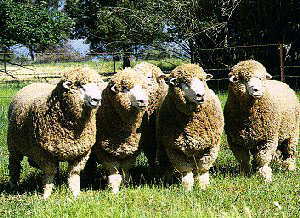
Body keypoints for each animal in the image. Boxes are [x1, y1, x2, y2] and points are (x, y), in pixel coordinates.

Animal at [7, 67, 105, 199]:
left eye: (97, 85)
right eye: (80, 85)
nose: (97, 100)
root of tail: (33, 84)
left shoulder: (80, 154)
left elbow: (73, 175)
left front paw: (75, 194)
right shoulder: (43, 153)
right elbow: (49, 174)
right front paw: (46, 195)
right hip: (13, 145)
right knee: (14, 165)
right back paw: (13, 185)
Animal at [156, 63, 224, 191]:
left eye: (202, 79)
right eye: (185, 82)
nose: (201, 95)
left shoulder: (211, 146)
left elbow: (202, 169)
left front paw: (203, 187)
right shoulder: (174, 148)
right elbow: (185, 170)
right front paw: (187, 188)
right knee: (166, 164)